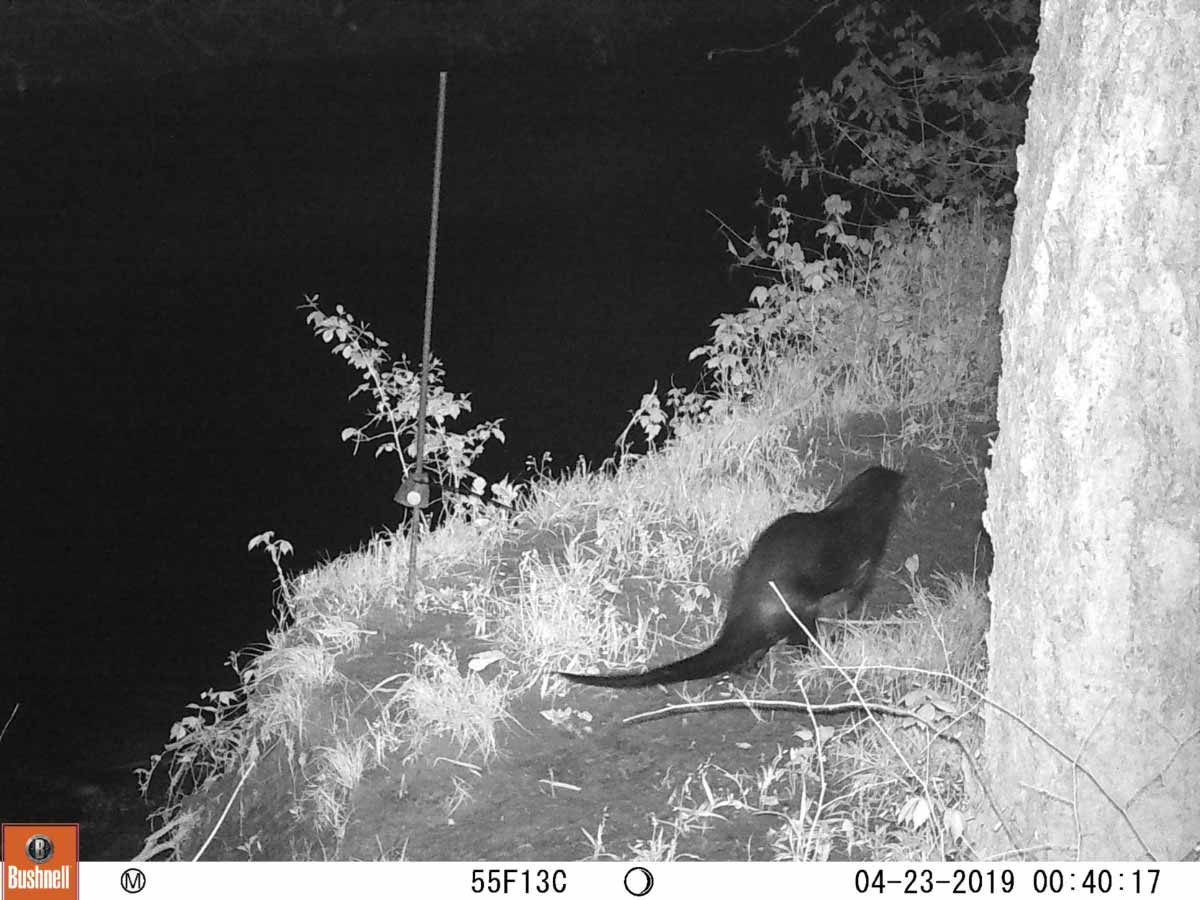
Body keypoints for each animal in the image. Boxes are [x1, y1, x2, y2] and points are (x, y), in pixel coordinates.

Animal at [557, 466, 904, 688]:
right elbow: (852, 598)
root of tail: (746, 607)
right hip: (799, 604)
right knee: (795, 637)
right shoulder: (865, 564)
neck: (857, 512)